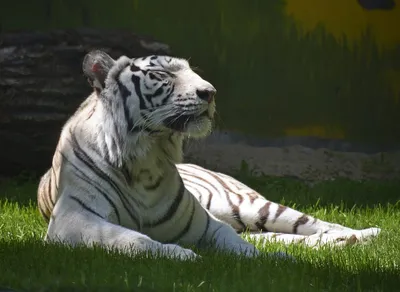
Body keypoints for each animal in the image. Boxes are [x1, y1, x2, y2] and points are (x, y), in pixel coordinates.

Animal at [37, 49, 382, 260]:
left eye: (191, 71)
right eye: (163, 75)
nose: (210, 92)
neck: (149, 157)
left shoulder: (207, 225)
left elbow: (238, 244)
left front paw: (271, 261)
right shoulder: (75, 219)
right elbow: (131, 239)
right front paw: (179, 254)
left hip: (247, 206)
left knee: (317, 224)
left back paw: (365, 234)